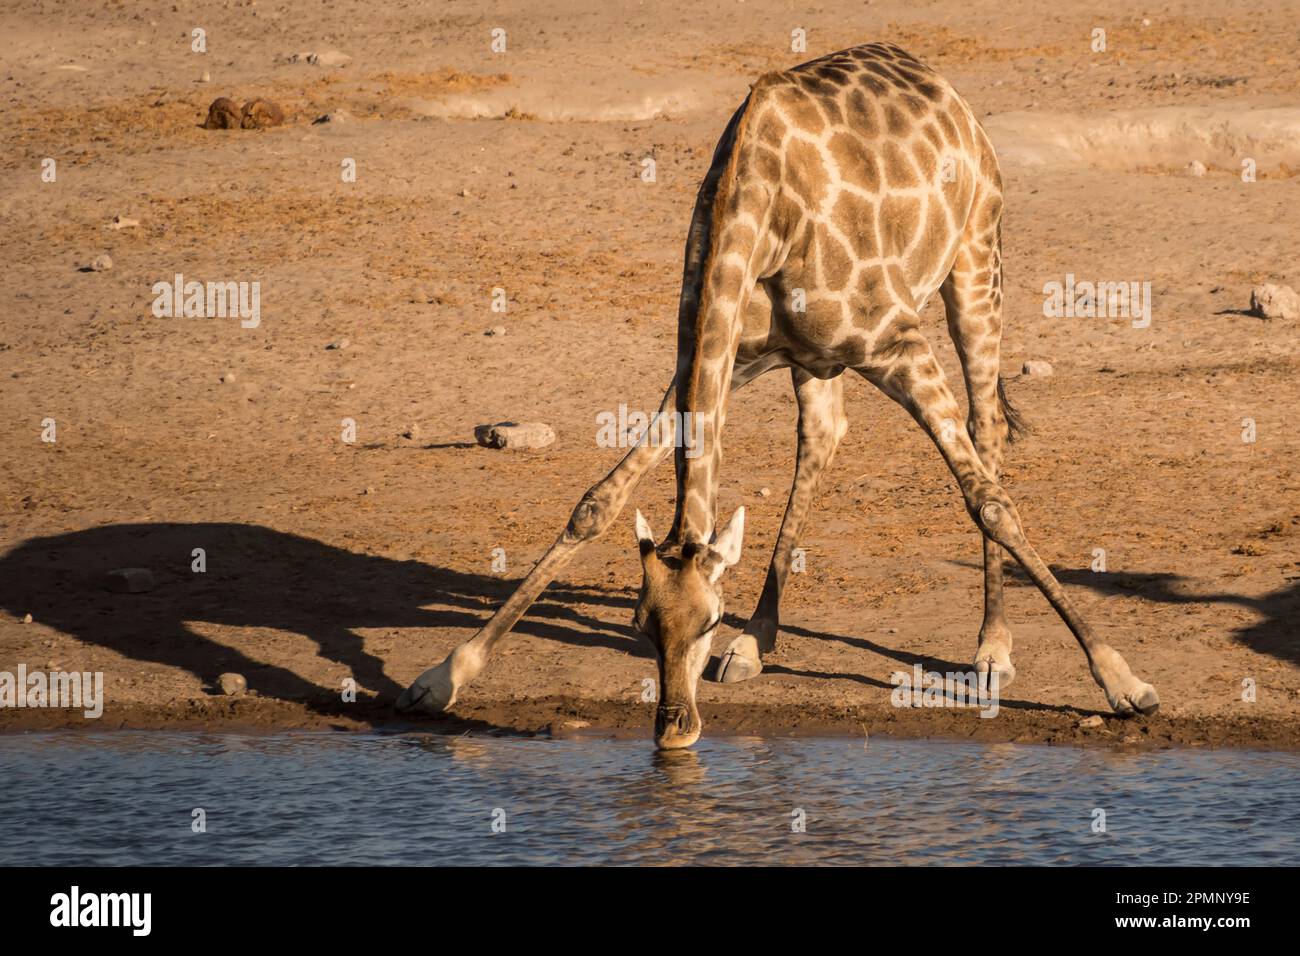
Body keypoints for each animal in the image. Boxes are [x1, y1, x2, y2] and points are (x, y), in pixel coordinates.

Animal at [395, 42, 1159, 749]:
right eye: (642, 624)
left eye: (707, 618)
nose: (674, 730)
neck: (757, 209)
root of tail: (944, 88)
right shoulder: (718, 355)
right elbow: (596, 503)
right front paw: (443, 676)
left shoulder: (899, 344)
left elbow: (989, 502)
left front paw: (1124, 681)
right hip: (815, 360)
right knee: (823, 435)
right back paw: (758, 641)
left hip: (976, 264)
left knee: (986, 426)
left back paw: (993, 647)